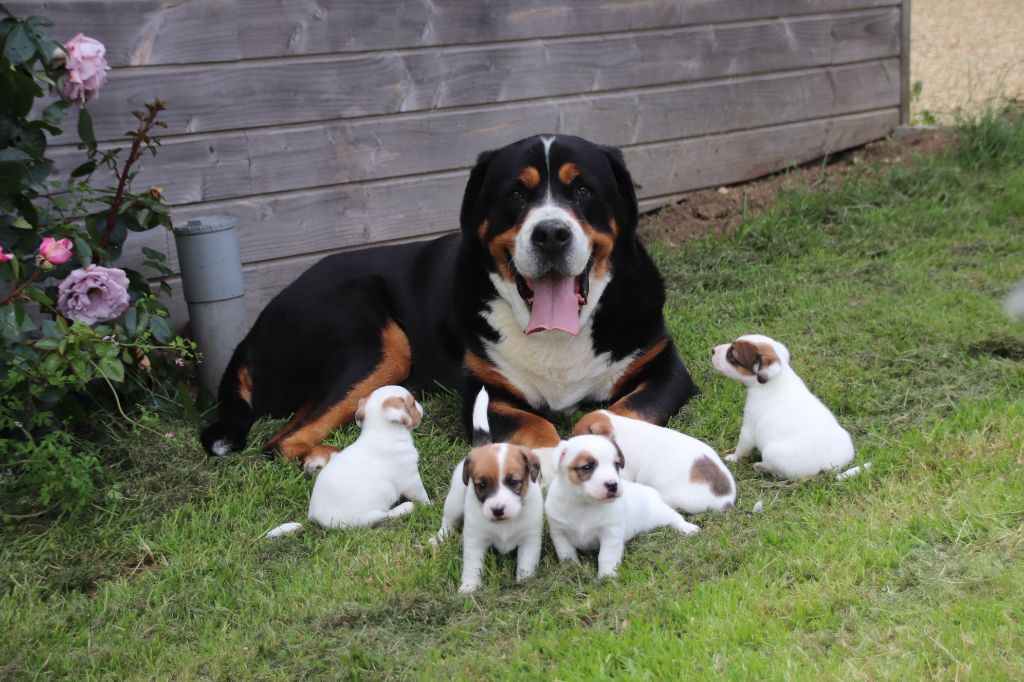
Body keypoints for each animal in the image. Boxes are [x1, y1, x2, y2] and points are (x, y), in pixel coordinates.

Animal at [264, 382, 428, 536]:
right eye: (412, 403)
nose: (421, 408)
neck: (382, 432)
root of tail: (313, 518)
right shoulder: (411, 479)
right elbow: (422, 495)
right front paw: (429, 506)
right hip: (369, 516)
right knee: (385, 516)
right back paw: (405, 508)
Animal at [430, 387, 544, 589]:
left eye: (513, 482)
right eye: (481, 485)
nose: (498, 510)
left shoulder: (530, 540)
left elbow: (526, 564)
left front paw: (525, 582)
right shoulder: (475, 540)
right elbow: (472, 566)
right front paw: (469, 588)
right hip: (455, 501)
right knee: (448, 521)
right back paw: (439, 538)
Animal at [544, 432, 696, 577]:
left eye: (616, 465)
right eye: (587, 467)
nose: (613, 485)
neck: (584, 505)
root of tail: (651, 491)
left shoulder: (610, 534)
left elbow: (606, 556)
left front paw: (607, 576)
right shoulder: (560, 534)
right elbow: (567, 554)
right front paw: (571, 570)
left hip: (660, 514)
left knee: (675, 518)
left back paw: (688, 528)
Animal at [712, 333, 856, 477]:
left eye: (732, 354)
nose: (713, 350)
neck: (776, 379)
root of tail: (831, 466)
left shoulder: (749, 426)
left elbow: (742, 445)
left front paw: (733, 457)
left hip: (772, 454)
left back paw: (761, 466)